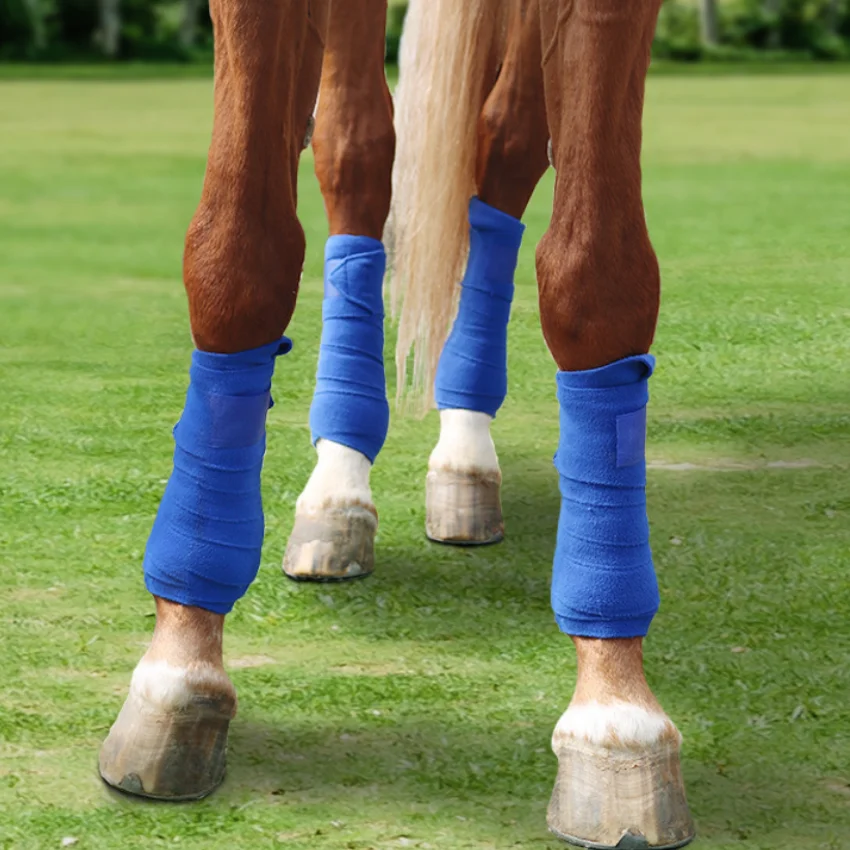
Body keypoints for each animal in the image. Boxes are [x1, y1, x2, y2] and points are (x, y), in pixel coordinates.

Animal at [97, 1, 695, 847]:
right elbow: (238, 253)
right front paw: (179, 666)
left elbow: (596, 275)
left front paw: (617, 715)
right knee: (356, 146)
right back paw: (337, 490)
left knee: (505, 140)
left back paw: (464, 459)